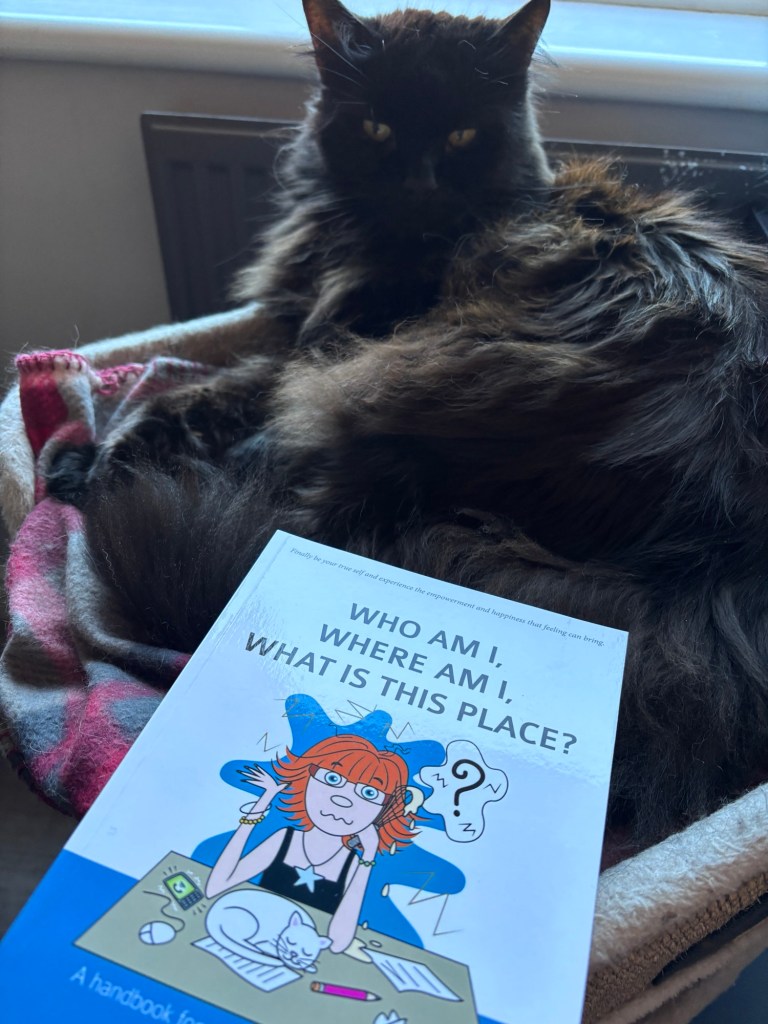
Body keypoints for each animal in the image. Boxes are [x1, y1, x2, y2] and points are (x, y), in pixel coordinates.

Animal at [46, 0, 768, 852]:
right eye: (378, 127)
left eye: (462, 134)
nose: (419, 184)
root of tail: (712, 557)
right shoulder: (295, 337)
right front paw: (87, 456)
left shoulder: (310, 352)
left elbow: (192, 394)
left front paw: (98, 462)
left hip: (369, 395)